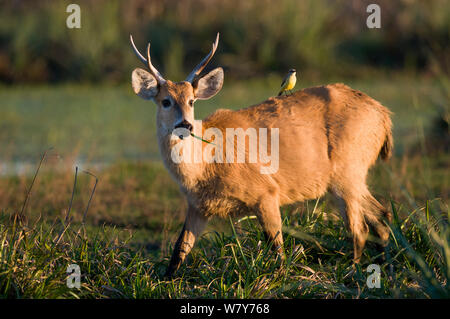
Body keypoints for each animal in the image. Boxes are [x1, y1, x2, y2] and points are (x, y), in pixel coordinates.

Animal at [128, 33, 392, 278]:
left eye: (192, 101)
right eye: (165, 101)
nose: (185, 125)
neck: (206, 163)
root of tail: (384, 115)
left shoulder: (266, 191)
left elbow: (277, 246)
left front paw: (281, 278)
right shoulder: (198, 205)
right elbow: (180, 248)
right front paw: (166, 280)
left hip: (348, 171)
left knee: (359, 229)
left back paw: (353, 271)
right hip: (350, 178)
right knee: (382, 217)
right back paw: (383, 266)